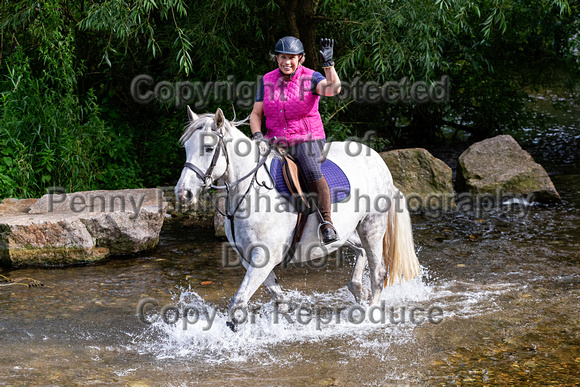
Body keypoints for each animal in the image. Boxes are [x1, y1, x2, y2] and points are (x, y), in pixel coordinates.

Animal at [173, 107, 422, 332]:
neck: (251, 192)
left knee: (378, 271)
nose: (183, 193)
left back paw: (371, 313)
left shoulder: (263, 258)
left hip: (372, 226)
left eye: (208, 148)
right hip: (348, 232)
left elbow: (238, 303)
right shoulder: (249, 258)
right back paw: (360, 291)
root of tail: (380, 162)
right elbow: (279, 300)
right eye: (186, 148)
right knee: (361, 252)